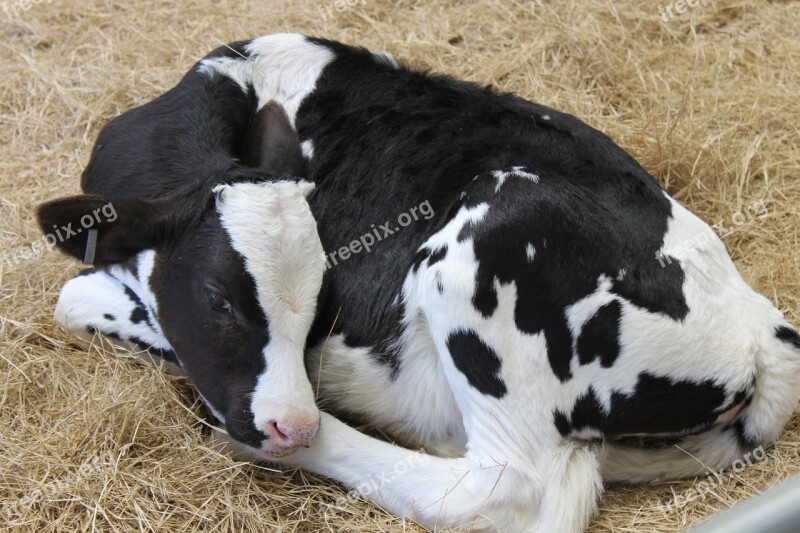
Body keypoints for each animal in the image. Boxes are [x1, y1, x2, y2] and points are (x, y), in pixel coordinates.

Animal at [39, 34, 800, 532]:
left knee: (513, 490)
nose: (291, 422)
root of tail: (763, 328)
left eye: (322, 305)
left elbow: (77, 295)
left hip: (484, 249)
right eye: (218, 299)